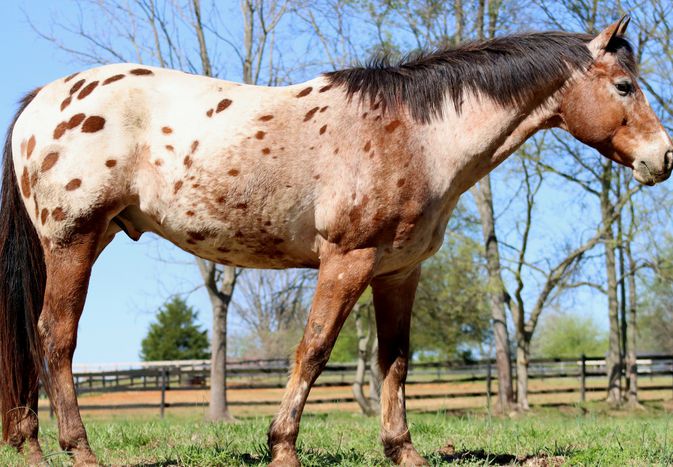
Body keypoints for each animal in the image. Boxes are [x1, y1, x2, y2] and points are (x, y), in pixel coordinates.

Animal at [0, 14, 668, 467]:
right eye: (625, 87)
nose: (662, 158)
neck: (418, 135)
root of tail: (41, 102)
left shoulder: (399, 272)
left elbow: (393, 360)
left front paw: (403, 451)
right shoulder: (348, 261)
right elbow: (315, 350)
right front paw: (282, 447)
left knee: (36, 341)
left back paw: (31, 446)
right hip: (74, 240)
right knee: (55, 338)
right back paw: (79, 450)